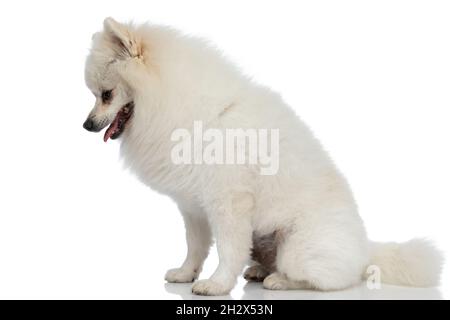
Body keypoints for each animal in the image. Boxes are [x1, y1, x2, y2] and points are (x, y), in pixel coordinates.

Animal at [82, 18, 442, 296]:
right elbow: (195, 246)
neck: (182, 106)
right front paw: (186, 274)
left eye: (106, 95)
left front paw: (216, 285)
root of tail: (366, 249)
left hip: (298, 249)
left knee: (327, 279)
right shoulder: (194, 207)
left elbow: (228, 249)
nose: (87, 125)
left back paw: (279, 280)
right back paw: (259, 270)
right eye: (95, 94)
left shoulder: (228, 204)